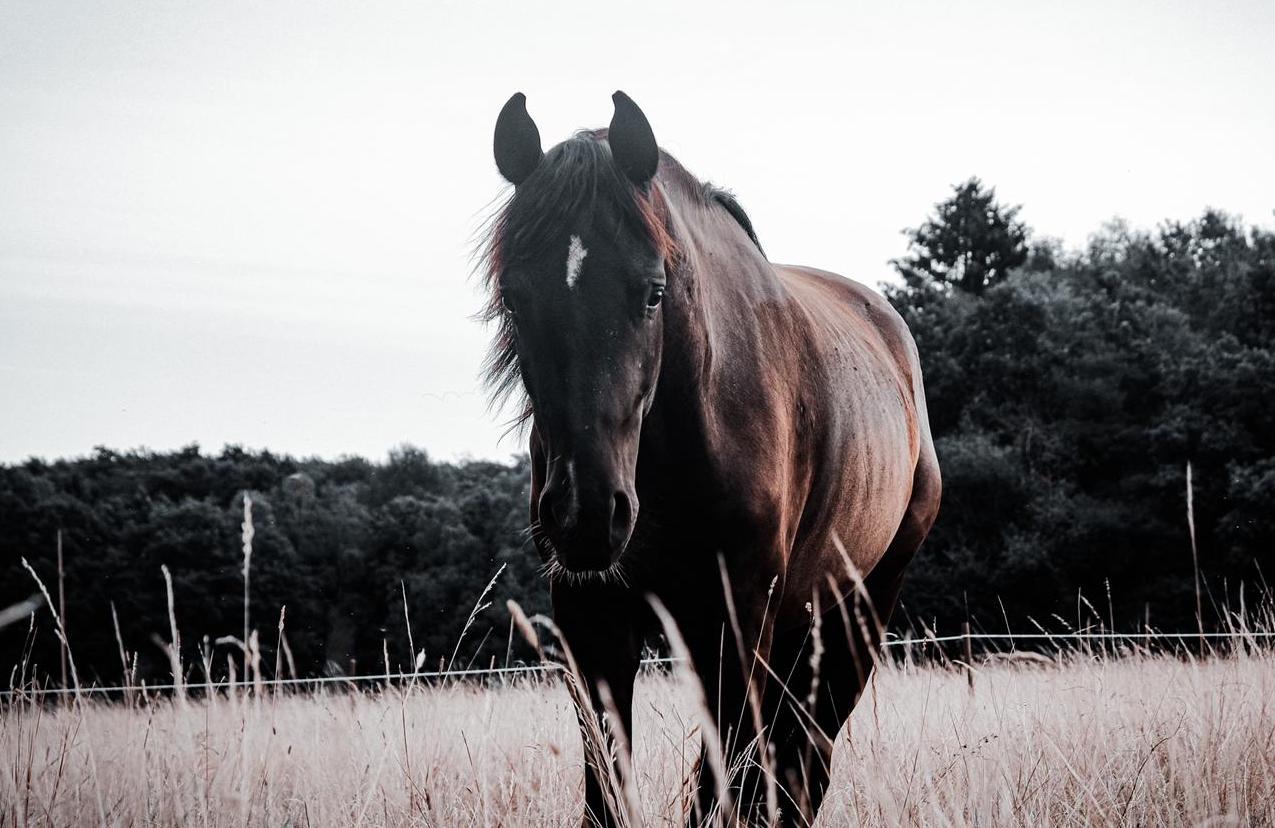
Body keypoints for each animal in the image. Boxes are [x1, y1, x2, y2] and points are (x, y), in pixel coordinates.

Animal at [481, 93, 943, 821]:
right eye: (513, 297)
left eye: (652, 291)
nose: (587, 513)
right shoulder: (591, 621)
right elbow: (608, 794)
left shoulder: (735, 620)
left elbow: (724, 788)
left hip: (856, 616)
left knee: (802, 765)